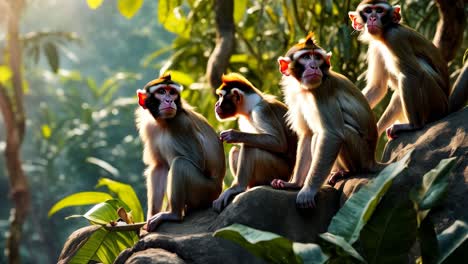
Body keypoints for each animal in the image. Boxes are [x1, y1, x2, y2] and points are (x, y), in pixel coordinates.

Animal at [135, 72, 225, 231]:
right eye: (161, 91)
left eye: (172, 92)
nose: (169, 100)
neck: (163, 123)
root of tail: (219, 189)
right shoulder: (150, 128)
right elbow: (159, 167)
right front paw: (150, 217)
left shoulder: (181, 124)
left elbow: (197, 162)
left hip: (205, 191)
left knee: (180, 163)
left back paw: (174, 214)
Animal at [212, 72, 296, 212]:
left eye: (221, 96)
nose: (216, 104)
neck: (250, 109)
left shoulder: (261, 110)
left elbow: (279, 143)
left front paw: (233, 135)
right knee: (237, 150)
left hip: (278, 171)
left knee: (249, 145)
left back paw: (238, 187)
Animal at [270, 33, 380, 208]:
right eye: (306, 57)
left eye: (317, 57)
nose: (314, 66)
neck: (304, 89)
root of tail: (372, 160)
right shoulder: (295, 95)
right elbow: (307, 134)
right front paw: (294, 184)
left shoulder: (322, 90)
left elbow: (332, 135)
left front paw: (307, 191)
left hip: (361, 154)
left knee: (338, 133)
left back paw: (349, 172)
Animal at [348, 0, 464, 139]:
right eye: (368, 11)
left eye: (380, 10)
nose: (372, 18)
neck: (384, 35)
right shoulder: (375, 46)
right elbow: (377, 87)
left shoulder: (395, 36)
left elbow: (411, 74)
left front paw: (413, 126)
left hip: (437, 103)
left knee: (415, 74)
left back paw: (414, 125)